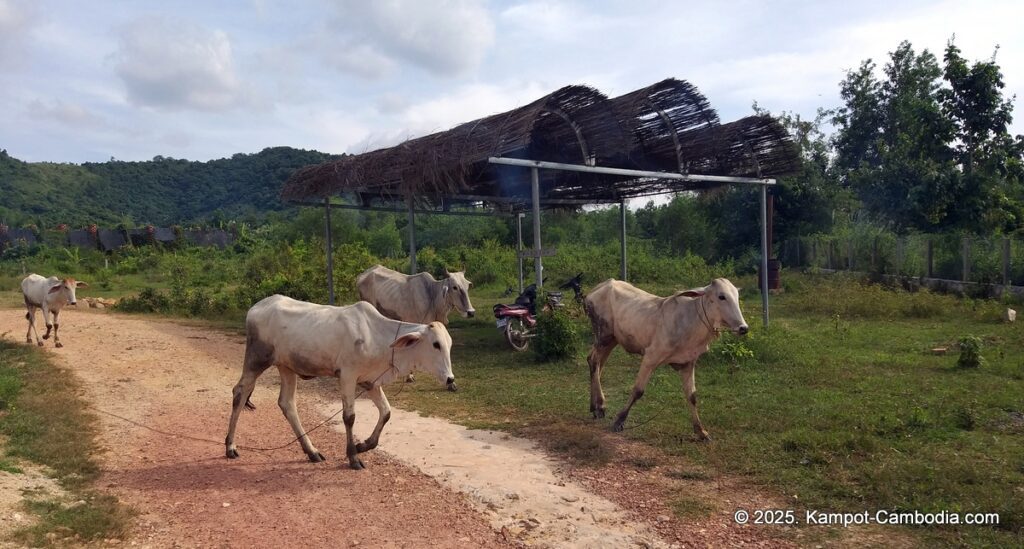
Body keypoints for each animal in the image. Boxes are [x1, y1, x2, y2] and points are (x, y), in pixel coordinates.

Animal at [230, 292, 458, 469]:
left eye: (449, 344)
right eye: (436, 344)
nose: (450, 379)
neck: (379, 337)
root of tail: (255, 308)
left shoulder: (370, 381)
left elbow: (386, 412)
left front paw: (363, 445)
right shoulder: (348, 375)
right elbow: (350, 417)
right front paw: (353, 457)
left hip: (286, 367)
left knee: (287, 404)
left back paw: (311, 451)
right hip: (256, 359)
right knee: (240, 392)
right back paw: (230, 446)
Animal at [585, 278, 753, 438]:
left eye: (737, 296)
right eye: (721, 296)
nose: (743, 328)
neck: (693, 320)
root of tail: (600, 287)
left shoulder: (688, 363)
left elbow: (692, 396)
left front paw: (701, 431)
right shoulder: (650, 357)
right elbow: (638, 390)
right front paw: (619, 421)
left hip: (612, 339)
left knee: (597, 364)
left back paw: (595, 405)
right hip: (603, 335)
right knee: (594, 361)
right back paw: (600, 406)